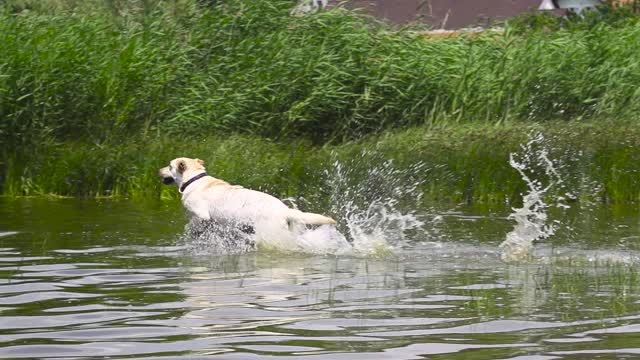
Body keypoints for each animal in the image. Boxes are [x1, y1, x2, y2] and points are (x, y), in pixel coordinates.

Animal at [158, 156, 338, 243]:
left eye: (169, 166)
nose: (158, 171)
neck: (194, 179)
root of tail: (285, 211)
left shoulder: (201, 216)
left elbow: (191, 225)